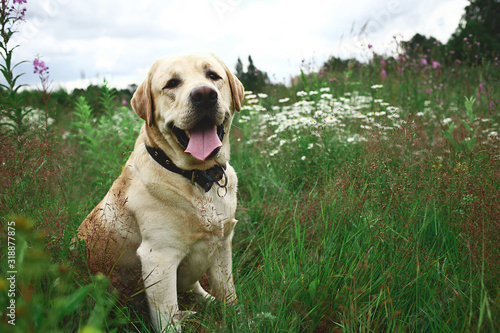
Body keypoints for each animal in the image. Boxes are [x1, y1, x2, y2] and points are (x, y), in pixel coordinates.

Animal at [76, 53, 244, 330]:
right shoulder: (159, 259)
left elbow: (228, 294)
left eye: (213, 76)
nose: (204, 95)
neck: (199, 178)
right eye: (172, 83)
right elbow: (168, 320)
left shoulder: (222, 244)